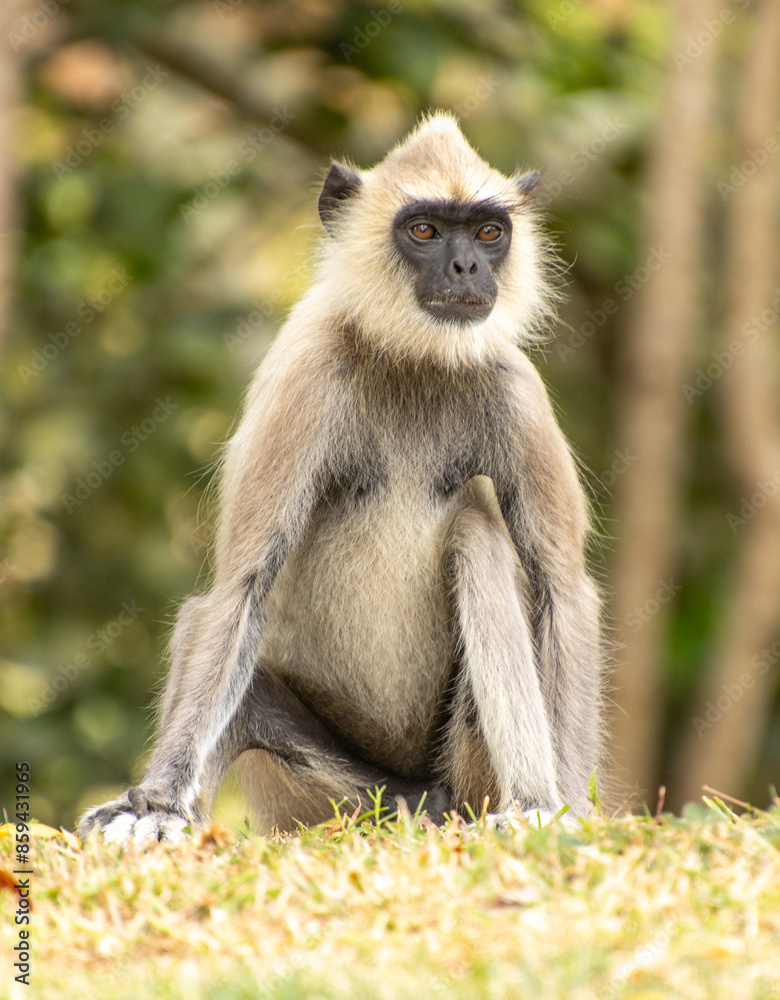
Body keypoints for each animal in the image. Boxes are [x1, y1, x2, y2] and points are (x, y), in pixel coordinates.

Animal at [79, 112, 603, 844]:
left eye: (488, 233)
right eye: (425, 231)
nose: (467, 267)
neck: (412, 358)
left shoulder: (514, 388)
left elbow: (561, 590)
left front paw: (571, 811)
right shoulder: (307, 372)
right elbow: (239, 589)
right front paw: (153, 805)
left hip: (462, 768)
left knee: (477, 533)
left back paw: (529, 803)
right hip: (338, 800)